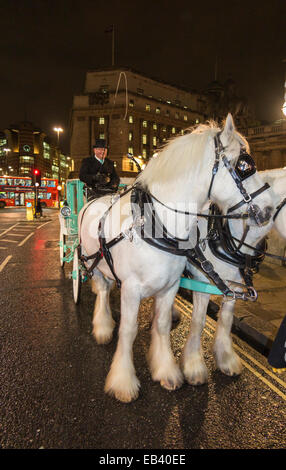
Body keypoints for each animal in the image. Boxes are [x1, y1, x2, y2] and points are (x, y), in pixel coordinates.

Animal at [77, 113, 272, 400]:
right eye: (243, 165)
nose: (268, 210)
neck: (155, 222)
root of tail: (96, 198)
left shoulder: (171, 286)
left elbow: (162, 324)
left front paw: (166, 370)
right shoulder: (132, 288)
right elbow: (128, 329)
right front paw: (123, 380)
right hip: (93, 260)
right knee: (101, 289)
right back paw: (102, 326)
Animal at [181, 169, 286, 386]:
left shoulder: (234, 287)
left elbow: (226, 320)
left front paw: (225, 359)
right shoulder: (202, 283)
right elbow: (198, 321)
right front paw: (194, 366)